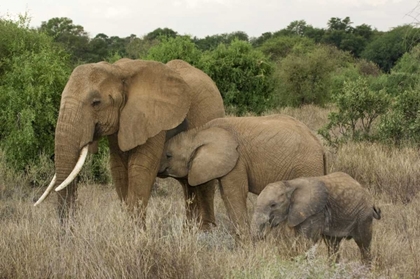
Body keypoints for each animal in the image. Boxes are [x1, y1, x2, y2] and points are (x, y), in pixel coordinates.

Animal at [35, 57, 226, 230]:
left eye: (96, 103)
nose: (70, 232)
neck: (118, 71)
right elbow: (119, 169)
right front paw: (130, 230)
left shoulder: (152, 119)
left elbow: (140, 169)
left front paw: (137, 235)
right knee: (188, 185)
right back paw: (190, 231)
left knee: (204, 183)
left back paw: (206, 231)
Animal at [251, 172, 382, 266]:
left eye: (273, 205)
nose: (263, 236)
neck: (289, 184)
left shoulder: (314, 212)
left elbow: (306, 241)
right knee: (332, 244)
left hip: (363, 215)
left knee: (363, 244)